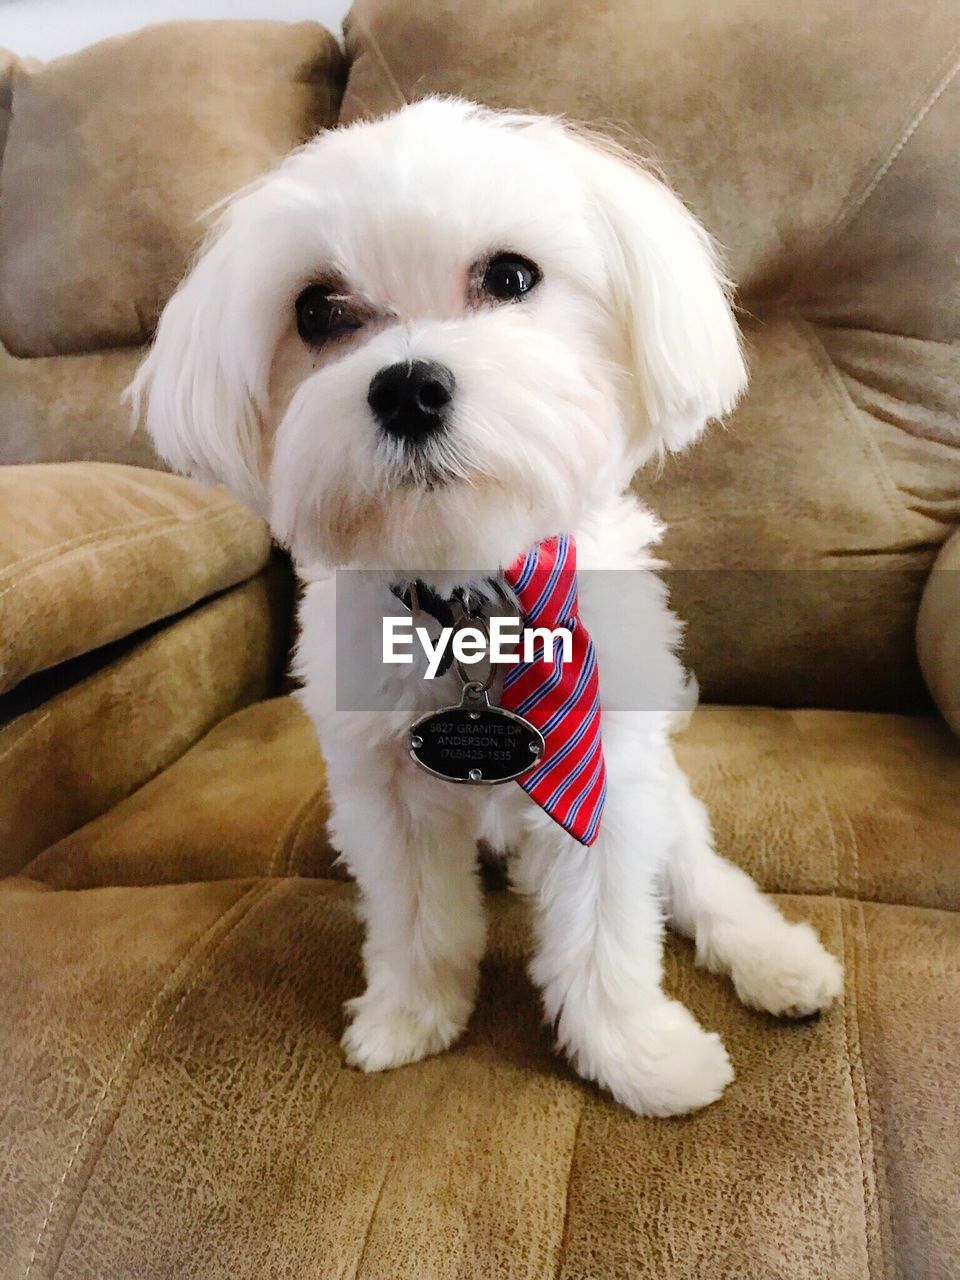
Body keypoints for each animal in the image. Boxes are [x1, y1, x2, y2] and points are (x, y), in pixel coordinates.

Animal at [135, 97, 839, 1121]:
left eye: (510, 276)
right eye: (317, 310)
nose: (408, 387)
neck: (468, 586)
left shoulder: (602, 776)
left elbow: (606, 929)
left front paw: (638, 1055)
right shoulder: (383, 792)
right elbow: (417, 917)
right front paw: (411, 1016)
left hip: (663, 799)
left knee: (703, 877)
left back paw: (778, 960)